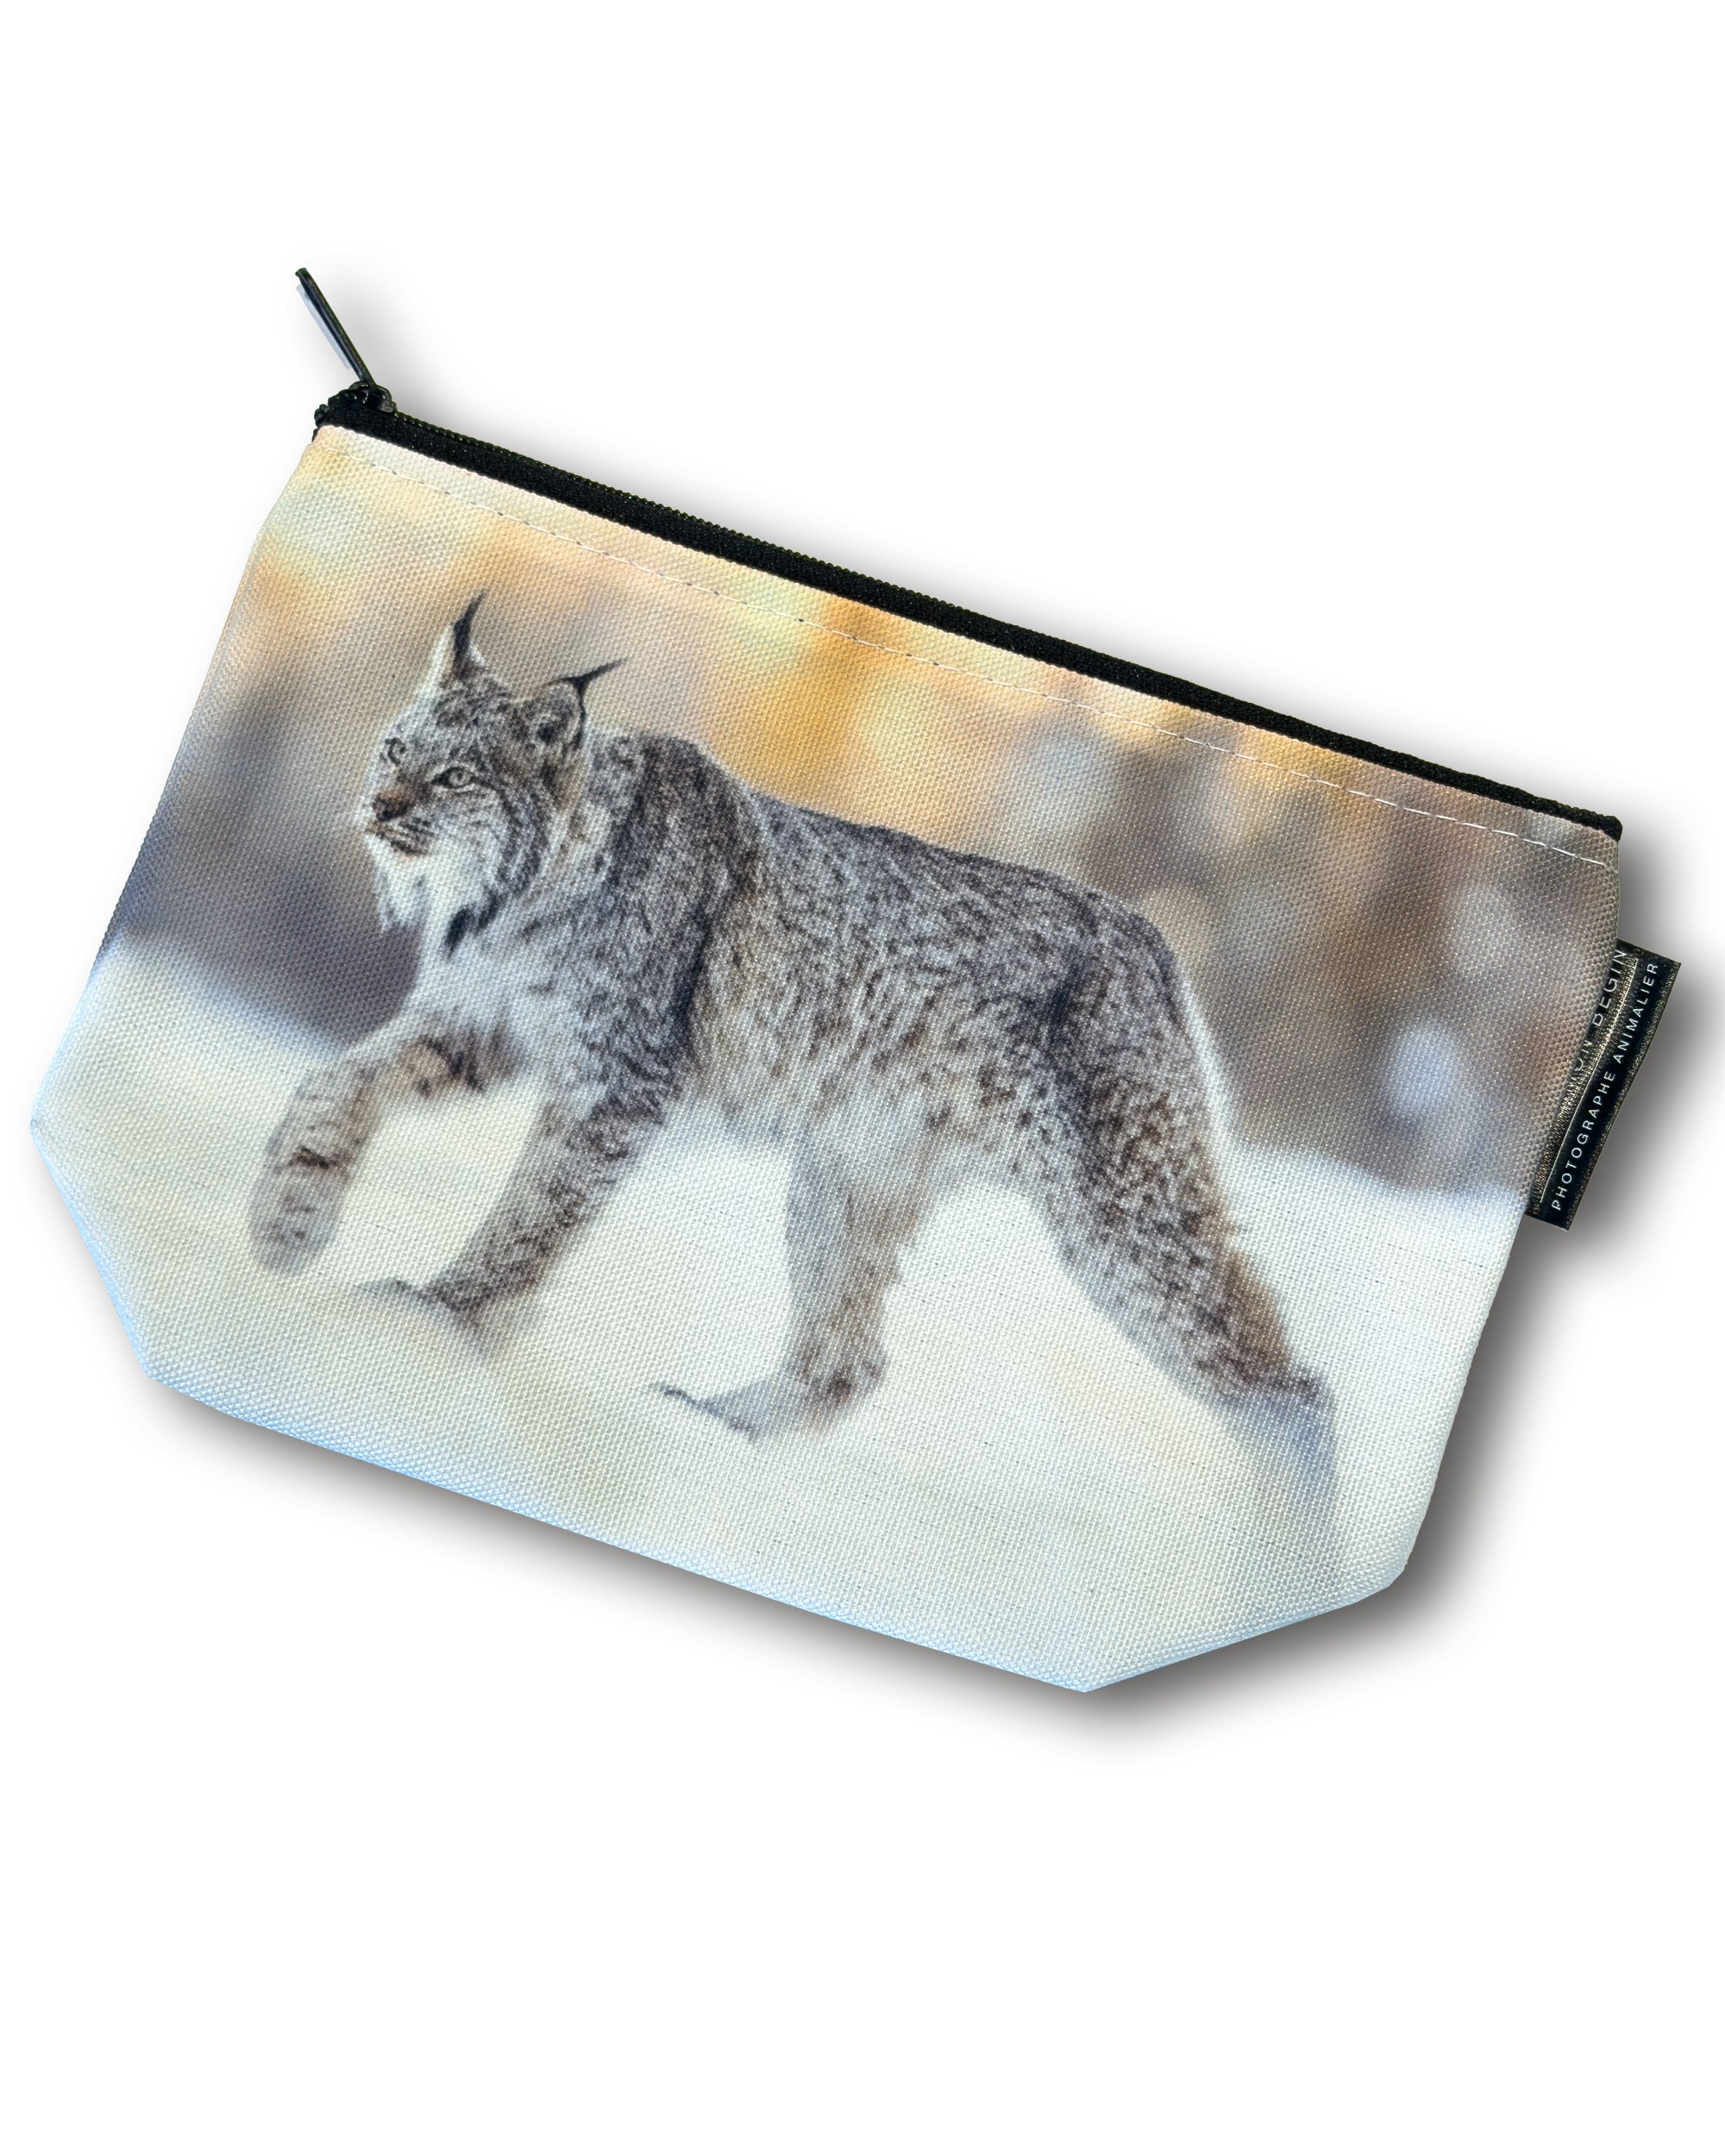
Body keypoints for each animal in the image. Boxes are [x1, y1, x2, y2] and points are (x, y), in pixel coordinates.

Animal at [249, 599, 1332, 1505]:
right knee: (847, 1362)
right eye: (396, 746)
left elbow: (532, 1212)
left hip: (1120, 1212)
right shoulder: (479, 1023)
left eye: (456, 776)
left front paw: (439, 1317)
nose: (380, 808)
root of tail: (1157, 946)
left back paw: (1278, 1565)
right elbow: (334, 1083)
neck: (514, 896)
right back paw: (716, 1430)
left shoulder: (619, 1083)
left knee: (1295, 1393)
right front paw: (287, 1223)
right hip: (847, 1169)